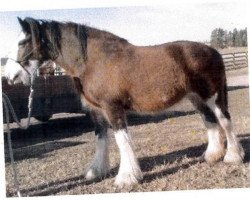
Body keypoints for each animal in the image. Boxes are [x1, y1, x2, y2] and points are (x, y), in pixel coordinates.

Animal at [7, 17, 244, 188]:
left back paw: (233, 156)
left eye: (23, 41)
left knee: (224, 120)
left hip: (212, 95)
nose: (10, 76)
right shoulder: (97, 111)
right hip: (196, 98)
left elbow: (122, 140)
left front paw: (127, 178)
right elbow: (101, 139)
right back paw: (212, 156)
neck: (93, 61)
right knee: (210, 121)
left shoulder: (113, 108)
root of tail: (213, 51)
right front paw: (96, 171)